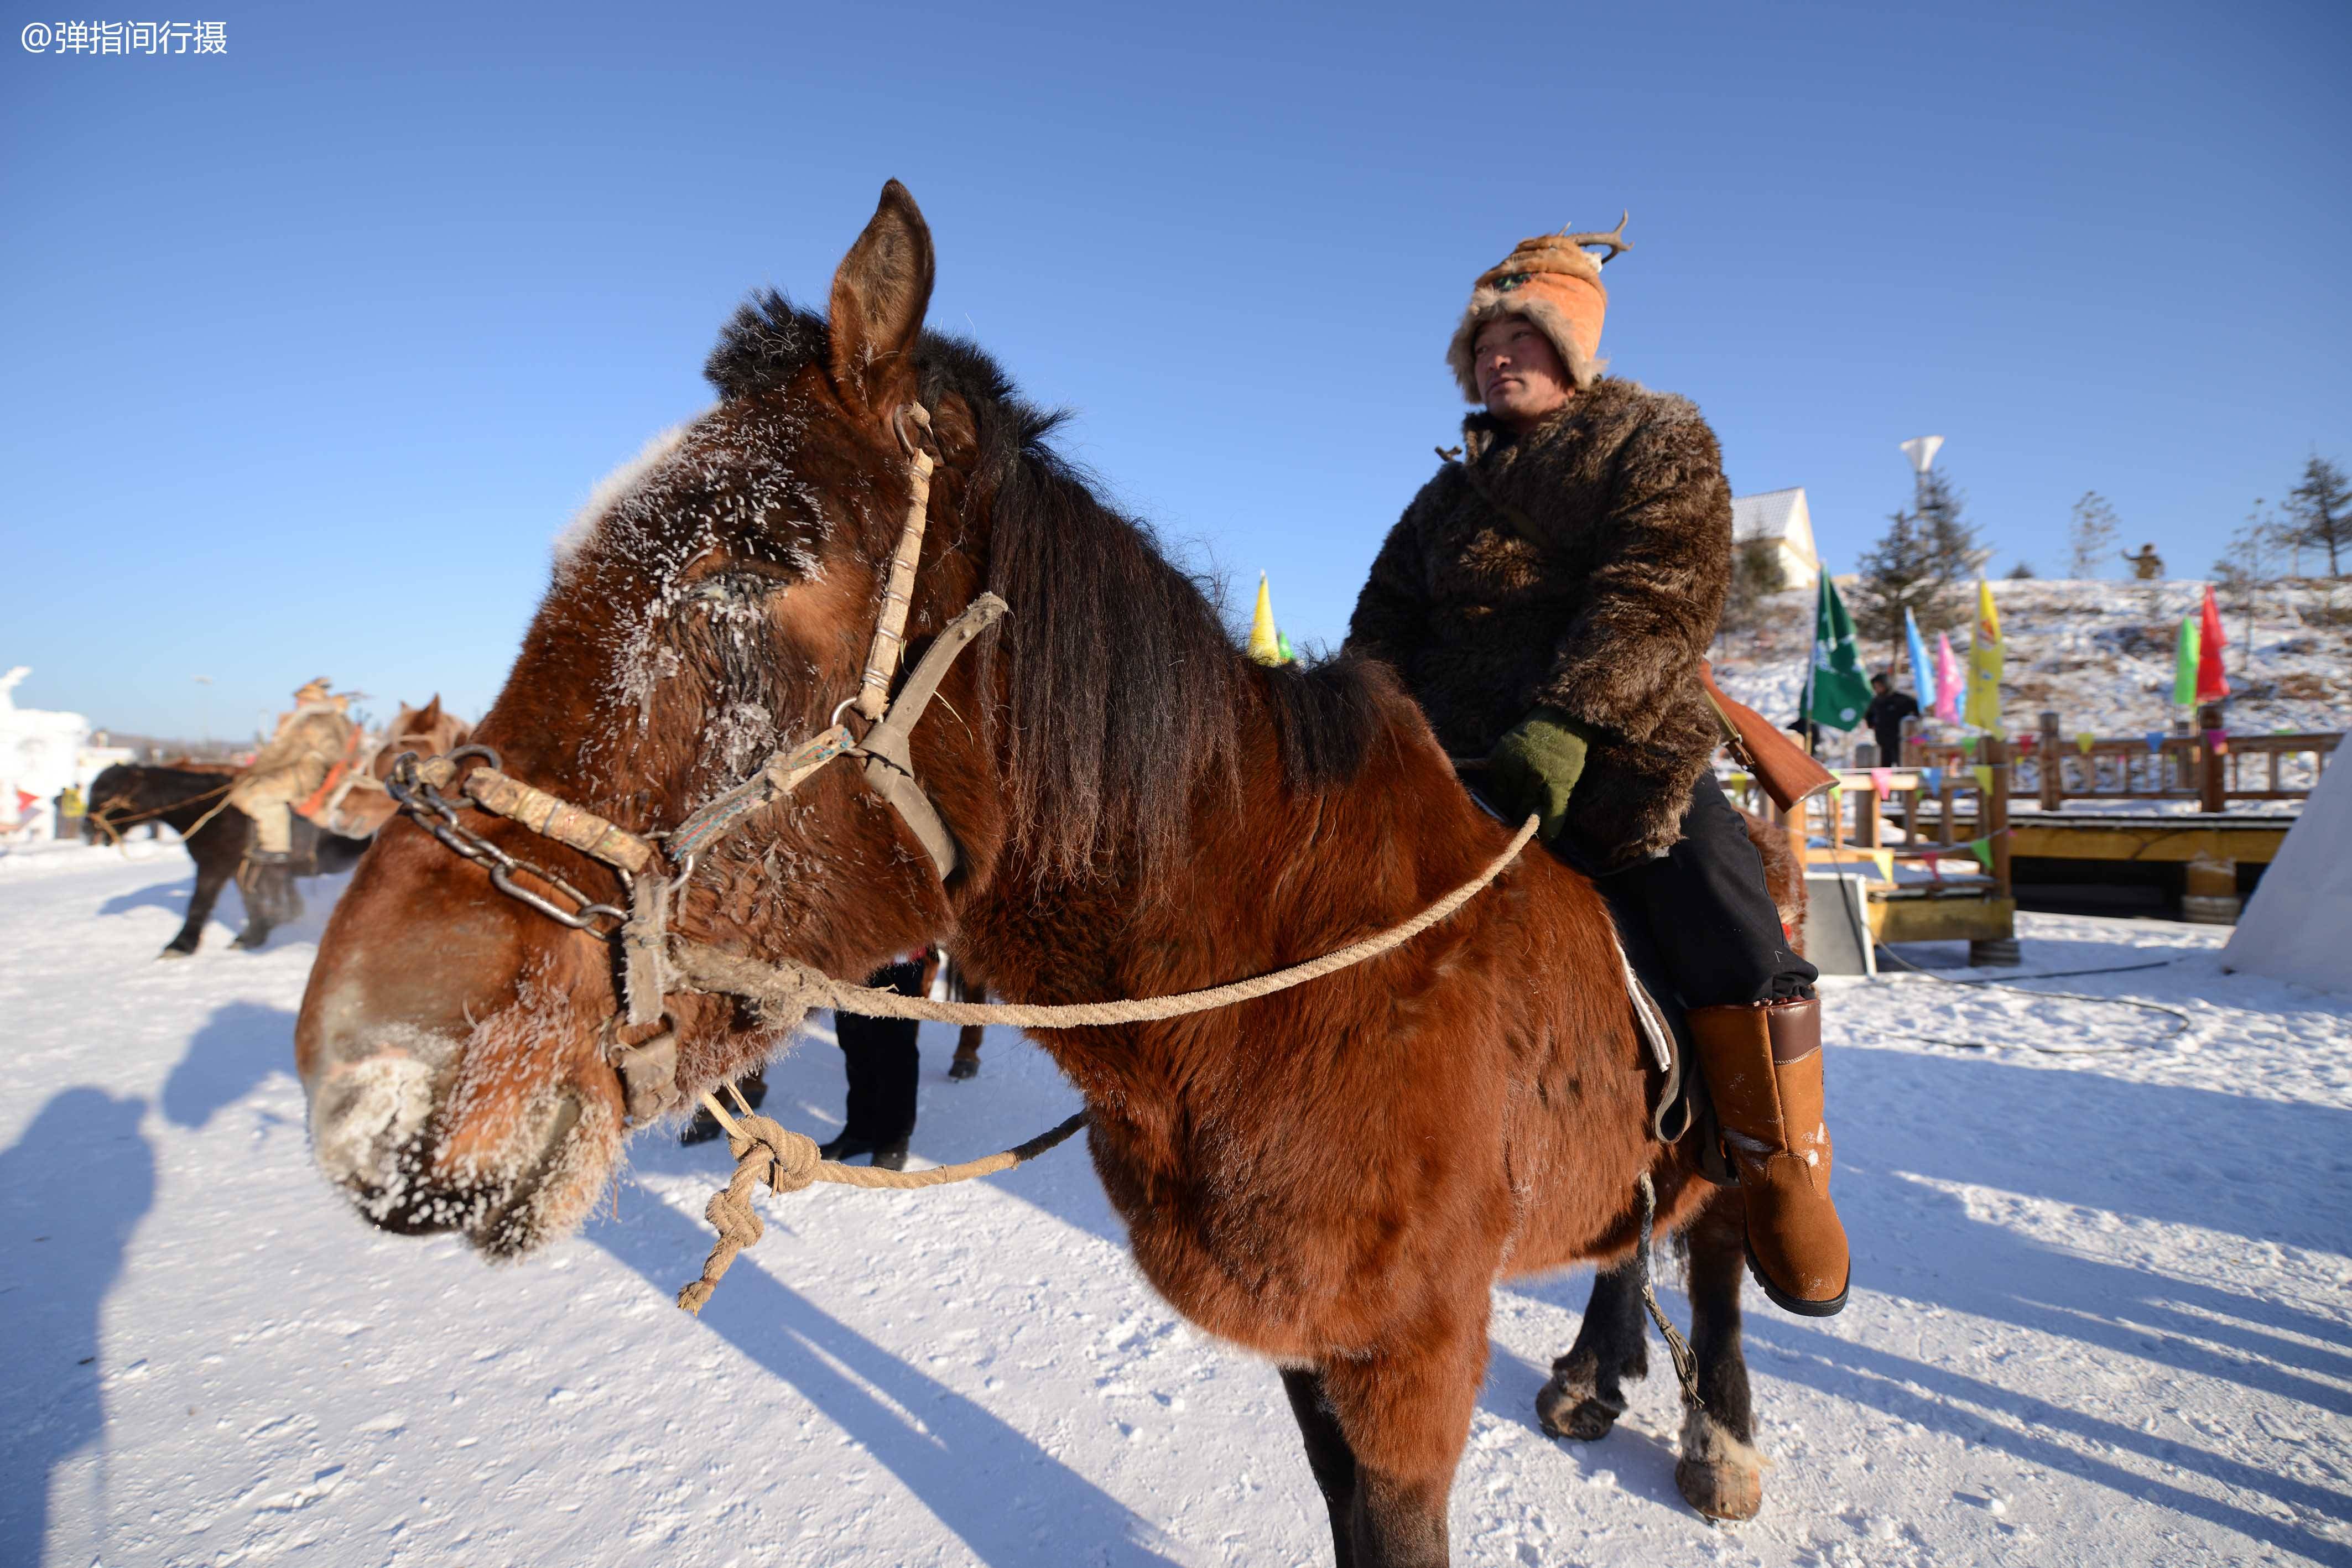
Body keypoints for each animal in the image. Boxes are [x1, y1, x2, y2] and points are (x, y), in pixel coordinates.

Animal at [294, 186, 1797, 1568]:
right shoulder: (1317, 1346)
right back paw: (1596, 1370)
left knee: (1721, 1232)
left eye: (756, 555)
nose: (364, 1071)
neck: (1281, 972)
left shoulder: (1408, 1353)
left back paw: (1716, 1431)